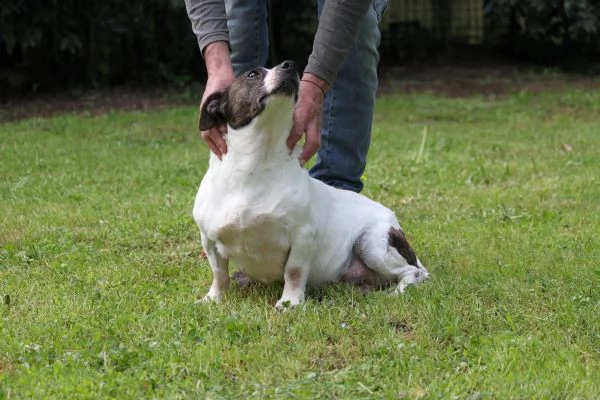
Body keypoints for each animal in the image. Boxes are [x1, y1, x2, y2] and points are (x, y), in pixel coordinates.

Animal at [192, 60, 426, 310]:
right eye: (252, 74)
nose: (289, 65)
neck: (255, 164)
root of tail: (393, 220)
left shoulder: (302, 236)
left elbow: (294, 271)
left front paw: (290, 302)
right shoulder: (209, 240)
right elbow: (219, 273)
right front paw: (214, 297)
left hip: (372, 245)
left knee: (413, 272)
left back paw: (398, 292)